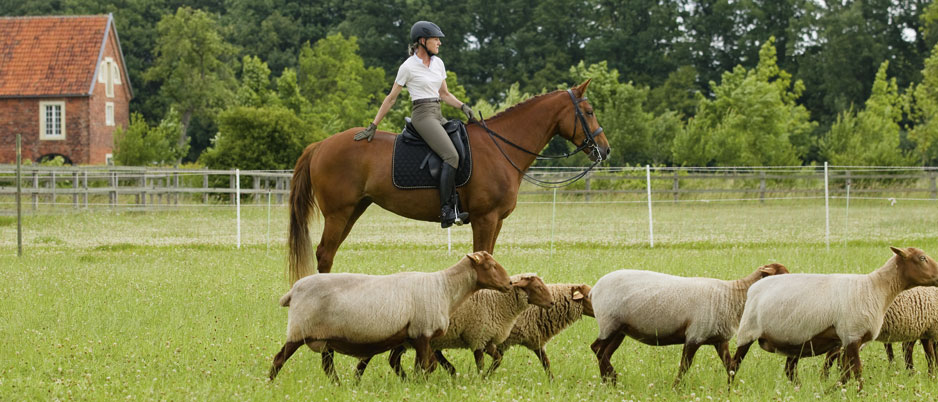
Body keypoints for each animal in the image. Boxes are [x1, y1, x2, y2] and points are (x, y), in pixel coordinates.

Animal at [266, 251, 508, 384]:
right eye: (490, 265)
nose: (508, 284)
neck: (445, 288)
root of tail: (293, 290)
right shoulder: (422, 332)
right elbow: (426, 365)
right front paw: (419, 384)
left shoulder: (415, 336)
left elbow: (425, 365)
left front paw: (414, 383)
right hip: (299, 330)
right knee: (279, 360)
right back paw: (269, 384)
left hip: (323, 338)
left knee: (327, 367)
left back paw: (338, 387)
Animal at [288, 79, 612, 282]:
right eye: (589, 112)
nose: (605, 149)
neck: (500, 146)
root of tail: (321, 145)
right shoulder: (485, 218)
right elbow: (482, 257)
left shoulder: (496, 221)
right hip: (338, 213)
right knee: (324, 254)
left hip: (353, 211)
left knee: (328, 254)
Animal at [352, 272, 556, 378]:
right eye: (538, 287)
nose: (552, 303)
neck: (497, 302)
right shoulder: (477, 337)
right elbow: (480, 362)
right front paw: (481, 379)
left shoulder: (487, 338)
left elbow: (497, 359)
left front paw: (487, 376)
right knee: (370, 358)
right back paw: (358, 379)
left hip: (403, 340)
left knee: (393, 360)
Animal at [588, 262, 788, 384]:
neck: (731, 295)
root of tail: (594, 289)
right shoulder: (694, 336)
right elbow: (684, 367)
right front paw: (676, 389)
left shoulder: (720, 340)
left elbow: (730, 366)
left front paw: (731, 388)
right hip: (609, 323)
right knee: (597, 348)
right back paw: (612, 377)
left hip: (620, 329)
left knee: (604, 352)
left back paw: (609, 382)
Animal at [732, 247, 936, 388]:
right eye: (922, 258)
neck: (875, 288)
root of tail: (754, 287)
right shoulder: (852, 336)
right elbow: (857, 371)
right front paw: (859, 392)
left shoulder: (849, 340)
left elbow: (846, 373)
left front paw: (833, 390)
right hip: (748, 332)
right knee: (734, 365)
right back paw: (730, 390)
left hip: (794, 341)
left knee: (789, 369)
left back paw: (799, 388)